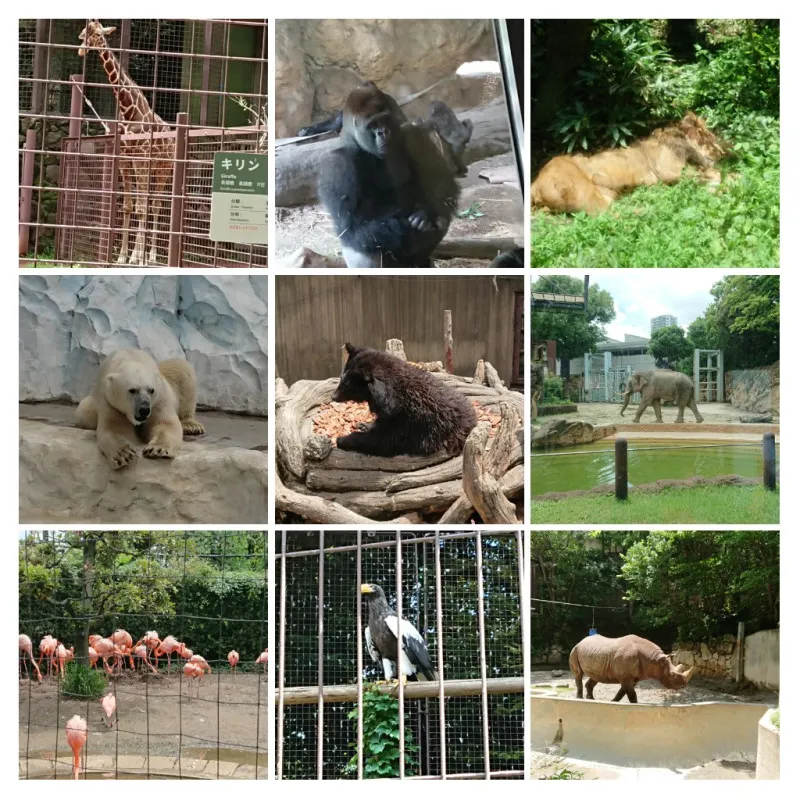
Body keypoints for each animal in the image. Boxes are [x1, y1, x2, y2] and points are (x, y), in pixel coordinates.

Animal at [76, 350, 206, 468]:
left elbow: (165, 424)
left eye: (151, 390)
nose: (144, 409)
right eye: (132, 390)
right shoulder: (109, 401)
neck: (132, 357)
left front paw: (157, 449)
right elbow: (115, 428)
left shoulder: (159, 399)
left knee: (182, 368)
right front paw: (124, 454)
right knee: (83, 412)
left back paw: (191, 426)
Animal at [77, 19, 174, 266]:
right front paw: (123, 257)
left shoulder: (140, 159)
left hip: (164, 168)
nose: (81, 48)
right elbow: (129, 206)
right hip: (151, 168)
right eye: (84, 31)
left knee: (155, 205)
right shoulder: (124, 160)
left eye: (97, 34)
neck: (129, 110)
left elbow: (141, 208)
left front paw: (137, 258)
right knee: (148, 203)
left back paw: (151, 256)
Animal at [316, 84, 460, 268]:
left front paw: (426, 213)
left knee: (442, 217)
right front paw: (412, 226)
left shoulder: (413, 133)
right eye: (372, 125)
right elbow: (353, 226)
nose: (383, 132)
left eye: (385, 120)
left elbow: (442, 185)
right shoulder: (336, 164)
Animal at [532, 111, 724, 216]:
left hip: (603, 195)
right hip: (585, 194)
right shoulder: (669, 172)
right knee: (611, 217)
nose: (722, 153)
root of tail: (535, 184)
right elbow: (715, 174)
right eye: (711, 139)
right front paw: (717, 185)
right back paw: (649, 212)